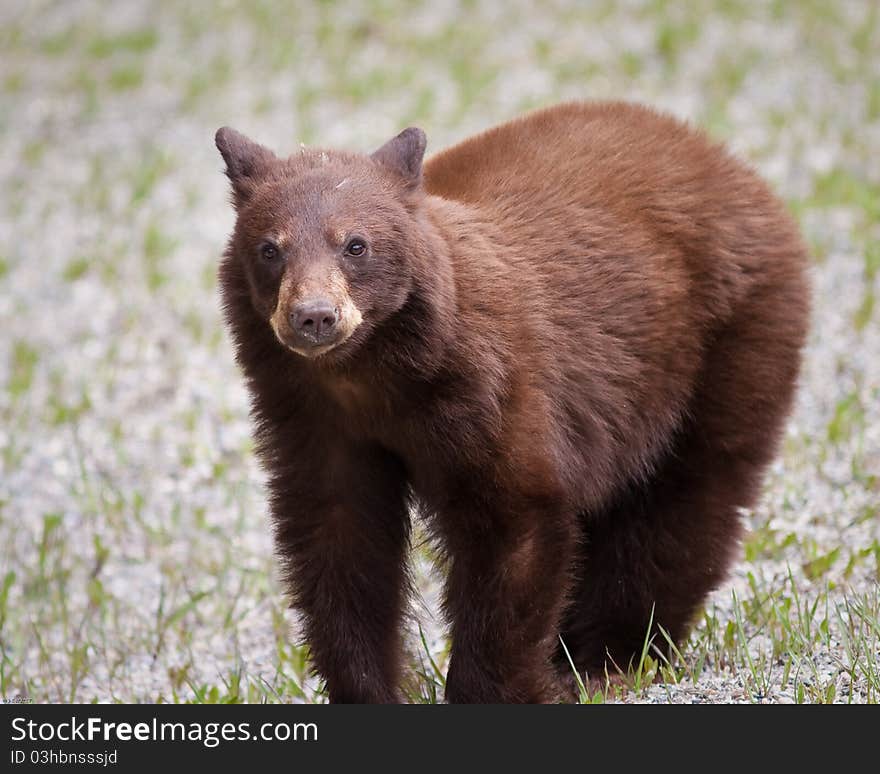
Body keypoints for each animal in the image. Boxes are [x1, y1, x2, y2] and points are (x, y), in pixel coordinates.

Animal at [215, 101, 812, 704]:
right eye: (271, 248)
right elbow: (339, 539)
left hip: (725, 340)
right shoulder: (313, 419)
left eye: (355, 244)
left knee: (684, 498)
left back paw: (607, 659)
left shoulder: (493, 387)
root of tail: (731, 163)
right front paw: (367, 690)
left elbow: (515, 523)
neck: (370, 378)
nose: (314, 316)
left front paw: (494, 689)